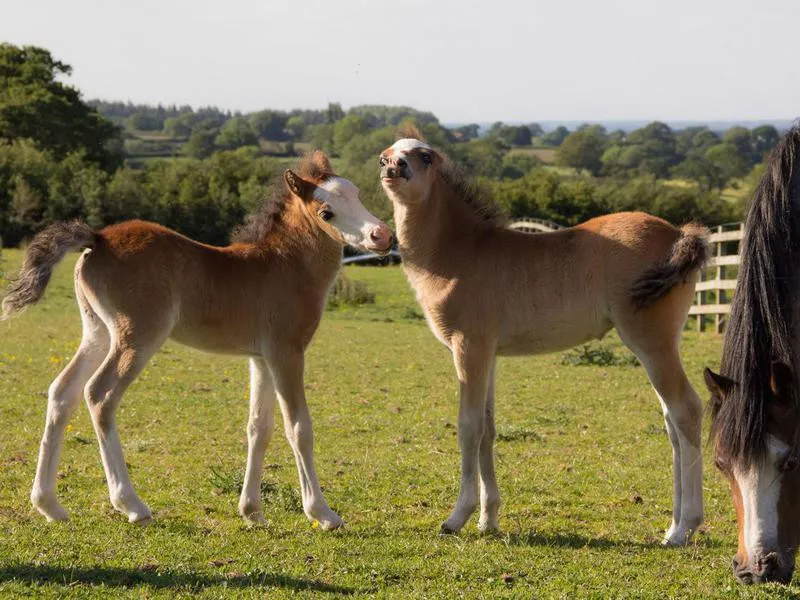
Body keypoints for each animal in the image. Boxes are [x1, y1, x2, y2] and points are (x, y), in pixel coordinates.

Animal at [0, 151, 394, 528]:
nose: (382, 236)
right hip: (136, 338)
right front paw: (322, 513)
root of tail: (97, 239)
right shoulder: (287, 353)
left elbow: (259, 427)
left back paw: (49, 505)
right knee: (99, 394)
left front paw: (252, 511)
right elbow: (298, 427)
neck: (284, 266)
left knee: (62, 391)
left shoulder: (261, 358)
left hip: (98, 333)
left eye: (357, 194)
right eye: (326, 212)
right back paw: (131, 504)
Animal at [380, 131, 708, 544]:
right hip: (664, 343)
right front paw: (489, 519)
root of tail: (679, 235)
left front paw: (457, 517)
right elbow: (488, 428)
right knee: (672, 423)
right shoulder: (489, 353)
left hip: (651, 341)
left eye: (424, 156)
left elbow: (469, 426)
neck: (457, 253)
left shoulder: (469, 346)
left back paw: (685, 528)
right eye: (384, 156)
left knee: (686, 410)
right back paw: (672, 526)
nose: (394, 168)